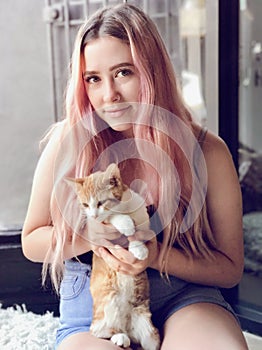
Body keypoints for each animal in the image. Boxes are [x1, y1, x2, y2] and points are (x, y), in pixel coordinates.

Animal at [68, 164, 160, 350]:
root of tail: (127, 328)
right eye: (85, 204)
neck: (125, 208)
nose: (93, 215)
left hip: (149, 332)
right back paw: (119, 337)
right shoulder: (102, 225)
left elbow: (140, 230)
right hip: (107, 307)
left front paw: (139, 248)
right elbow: (112, 217)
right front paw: (125, 224)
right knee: (100, 331)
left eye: (100, 202)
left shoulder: (143, 216)